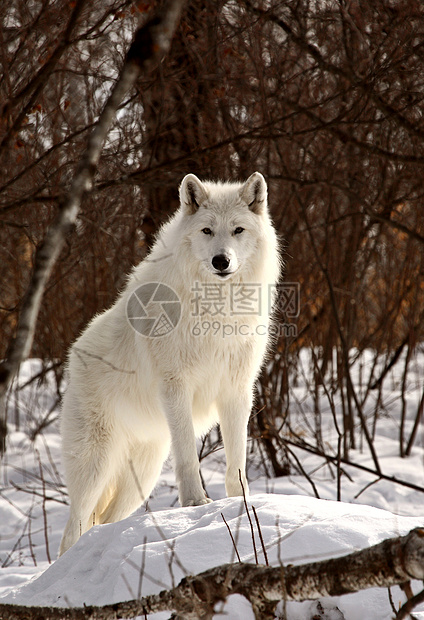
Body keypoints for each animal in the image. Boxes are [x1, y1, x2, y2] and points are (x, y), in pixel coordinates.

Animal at [58, 172, 280, 556]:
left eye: (238, 230)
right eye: (207, 230)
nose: (221, 261)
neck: (216, 309)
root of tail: (74, 355)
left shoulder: (237, 391)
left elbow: (236, 460)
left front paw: (242, 505)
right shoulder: (176, 386)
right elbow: (189, 456)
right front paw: (195, 503)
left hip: (141, 477)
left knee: (103, 522)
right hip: (96, 467)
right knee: (71, 531)